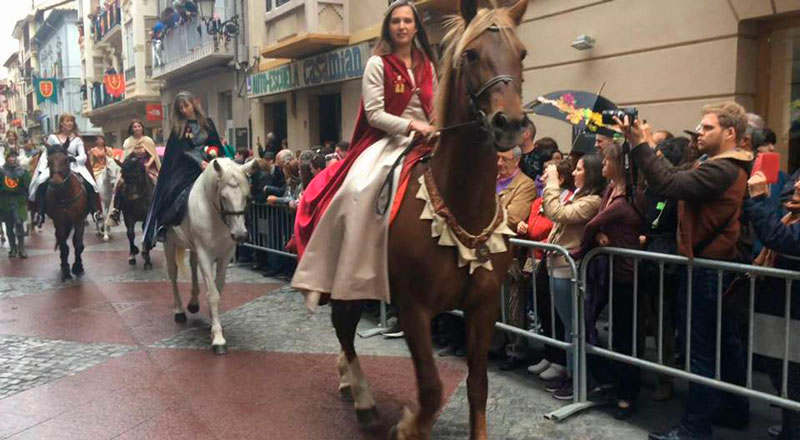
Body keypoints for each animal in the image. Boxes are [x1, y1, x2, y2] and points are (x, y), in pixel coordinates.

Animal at [45, 146, 90, 280]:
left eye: (66, 160)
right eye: (48, 161)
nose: (56, 182)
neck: (65, 196)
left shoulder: (79, 220)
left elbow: (78, 243)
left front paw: (78, 267)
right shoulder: (59, 221)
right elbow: (64, 245)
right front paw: (66, 270)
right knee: (61, 240)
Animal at [165, 158, 262, 354]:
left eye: (247, 197)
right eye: (224, 197)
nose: (239, 234)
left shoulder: (226, 253)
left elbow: (218, 288)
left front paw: (213, 322)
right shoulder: (205, 253)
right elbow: (212, 294)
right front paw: (218, 338)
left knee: (192, 265)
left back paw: (193, 303)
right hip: (169, 243)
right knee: (173, 274)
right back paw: (179, 310)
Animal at [332, 1, 532, 438]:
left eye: (522, 53)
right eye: (471, 54)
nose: (509, 124)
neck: (461, 206)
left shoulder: (483, 307)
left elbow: (478, 385)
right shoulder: (414, 308)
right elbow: (431, 387)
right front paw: (409, 426)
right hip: (347, 281)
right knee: (344, 329)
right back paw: (363, 400)